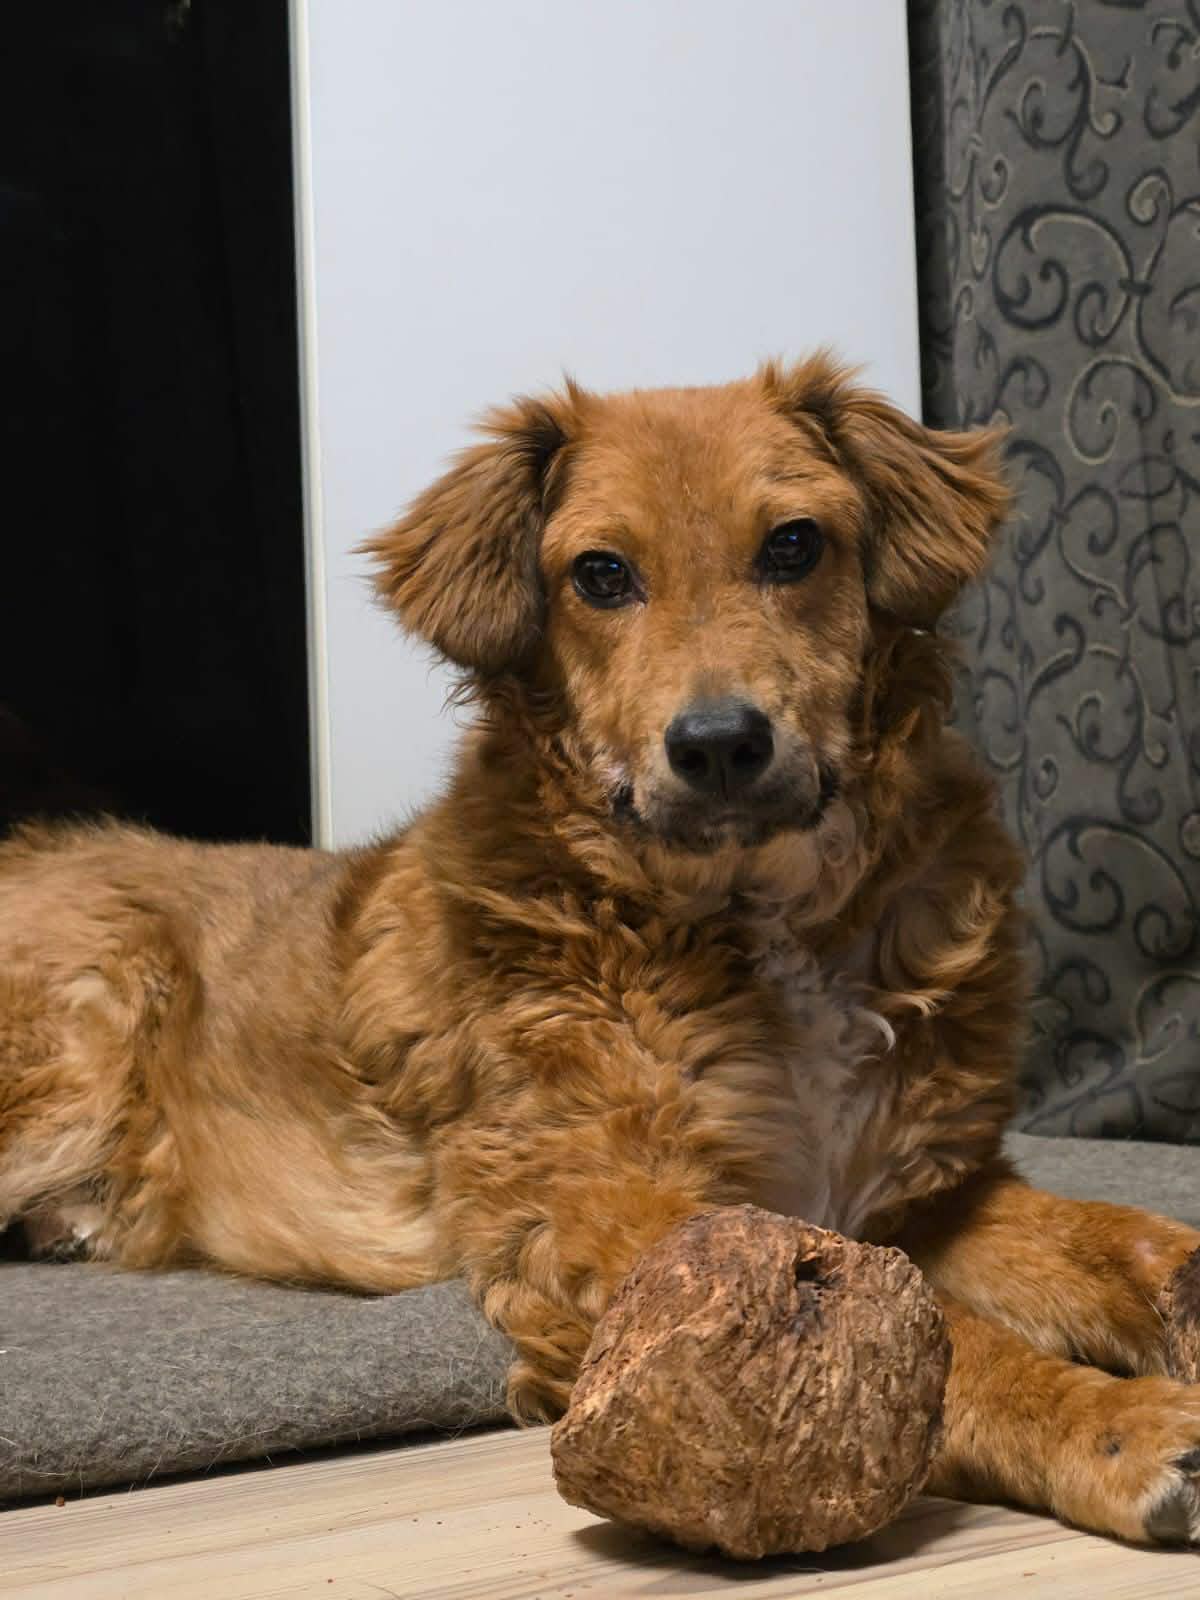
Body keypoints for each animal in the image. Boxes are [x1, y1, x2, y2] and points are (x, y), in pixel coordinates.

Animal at [3, 353, 1200, 1544]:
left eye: (794, 544)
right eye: (601, 574)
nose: (718, 744)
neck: (753, 921)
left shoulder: (919, 1193)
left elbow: (1119, 1235)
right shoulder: (611, 1216)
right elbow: (949, 1341)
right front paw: (1118, 1424)